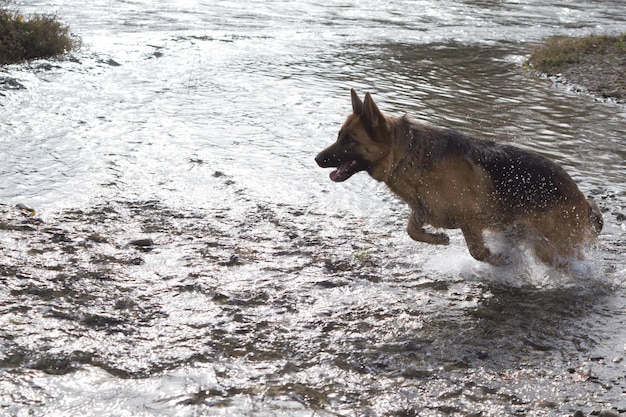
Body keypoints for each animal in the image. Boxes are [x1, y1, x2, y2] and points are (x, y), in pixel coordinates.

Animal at [314, 90, 604, 266]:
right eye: (339, 136)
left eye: (349, 140)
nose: (317, 158)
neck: (407, 155)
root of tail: (581, 197)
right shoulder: (424, 209)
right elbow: (412, 231)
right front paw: (439, 239)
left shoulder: (471, 220)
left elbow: (477, 252)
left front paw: (498, 261)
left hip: (554, 243)